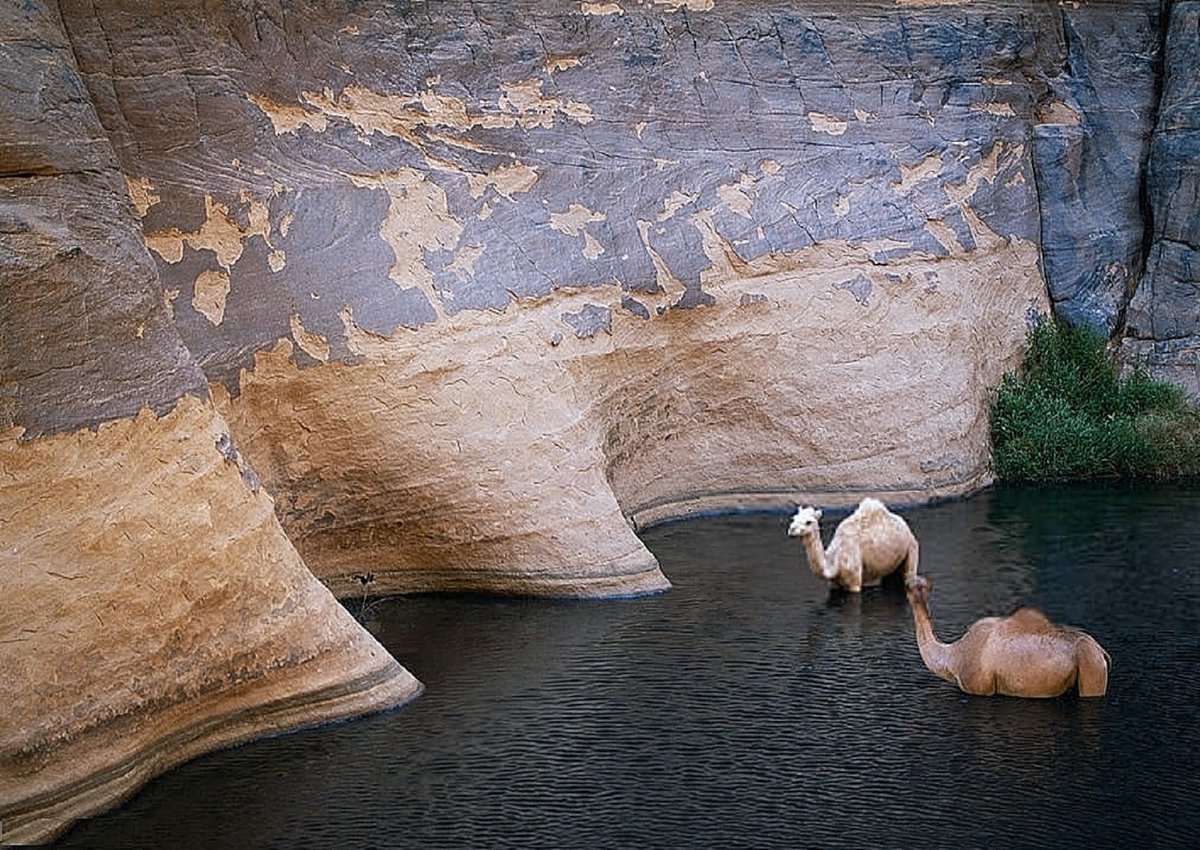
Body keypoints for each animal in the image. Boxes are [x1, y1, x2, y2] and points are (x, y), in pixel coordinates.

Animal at [787, 497, 919, 593]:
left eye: (808, 522)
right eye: (794, 518)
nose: (792, 530)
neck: (835, 564)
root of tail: (905, 526)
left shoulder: (854, 582)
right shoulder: (833, 583)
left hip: (911, 547)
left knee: (909, 574)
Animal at [905, 575, 1111, 698]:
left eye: (909, 586)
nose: (906, 582)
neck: (951, 658)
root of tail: (1101, 651)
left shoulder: (977, 687)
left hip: (1092, 670)